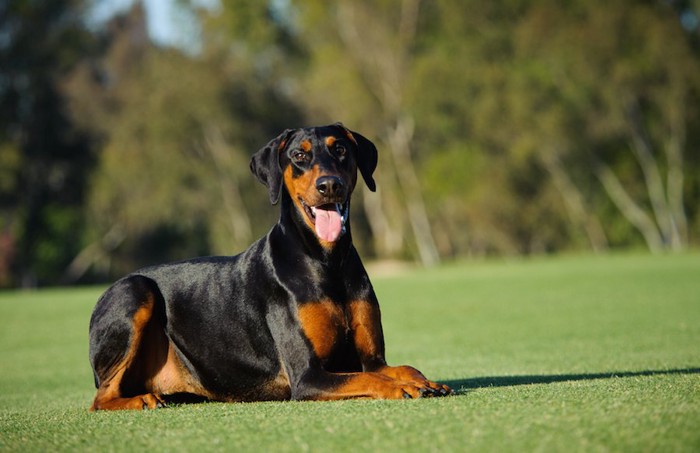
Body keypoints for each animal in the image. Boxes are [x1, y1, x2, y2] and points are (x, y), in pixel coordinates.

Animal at [89, 121, 454, 410]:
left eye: (340, 150)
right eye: (299, 156)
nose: (329, 185)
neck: (327, 261)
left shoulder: (372, 360)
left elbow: (402, 368)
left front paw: (423, 380)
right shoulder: (307, 376)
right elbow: (372, 380)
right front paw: (402, 387)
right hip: (135, 290)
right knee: (101, 398)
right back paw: (140, 400)